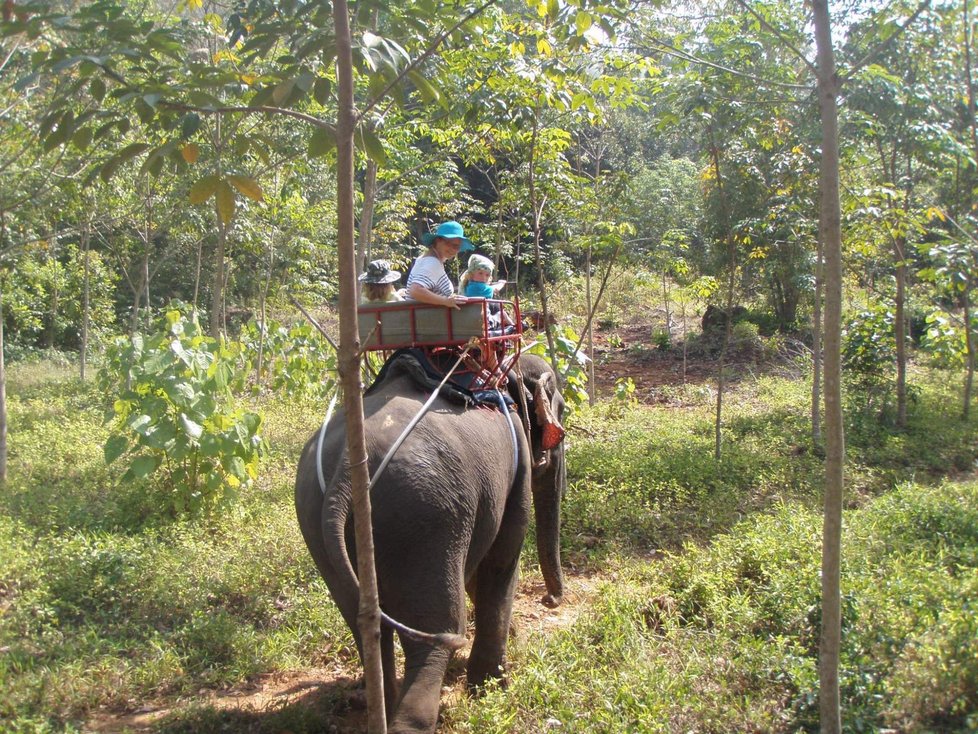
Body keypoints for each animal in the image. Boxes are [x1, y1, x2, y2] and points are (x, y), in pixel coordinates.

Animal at [292, 354, 564, 732]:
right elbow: (500, 561)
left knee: (367, 628)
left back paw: (378, 706)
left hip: (319, 524)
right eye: (562, 411)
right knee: (435, 633)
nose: (549, 600)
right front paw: (493, 686)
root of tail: (347, 473)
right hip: (425, 520)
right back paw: (413, 717)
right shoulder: (516, 468)